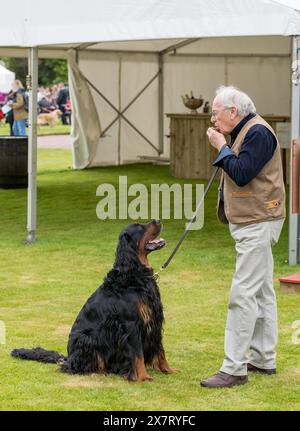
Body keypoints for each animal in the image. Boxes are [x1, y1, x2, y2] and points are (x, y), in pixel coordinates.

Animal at [11, 221, 176, 384]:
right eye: (139, 226)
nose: (158, 220)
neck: (133, 274)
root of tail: (68, 358)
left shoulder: (154, 319)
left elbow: (160, 350)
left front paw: (168, 369)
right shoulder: (132, 324)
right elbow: (138, 354)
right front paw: (142, 377)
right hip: (88, 338)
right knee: (75, 367)